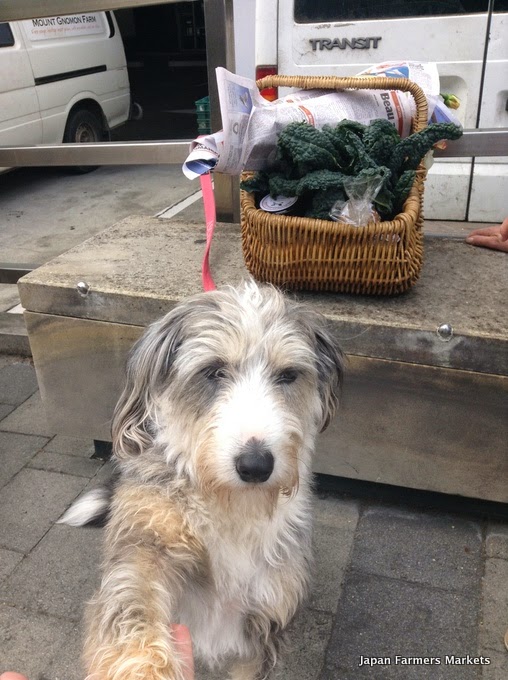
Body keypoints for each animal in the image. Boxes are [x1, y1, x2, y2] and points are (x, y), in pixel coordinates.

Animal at [60, 281, 343, 680]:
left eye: (288, 375)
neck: (229, 508)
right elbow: (132, 601)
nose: (256, 466)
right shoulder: (144, 545)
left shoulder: (263, 623)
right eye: (213, 371)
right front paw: (144, 668)